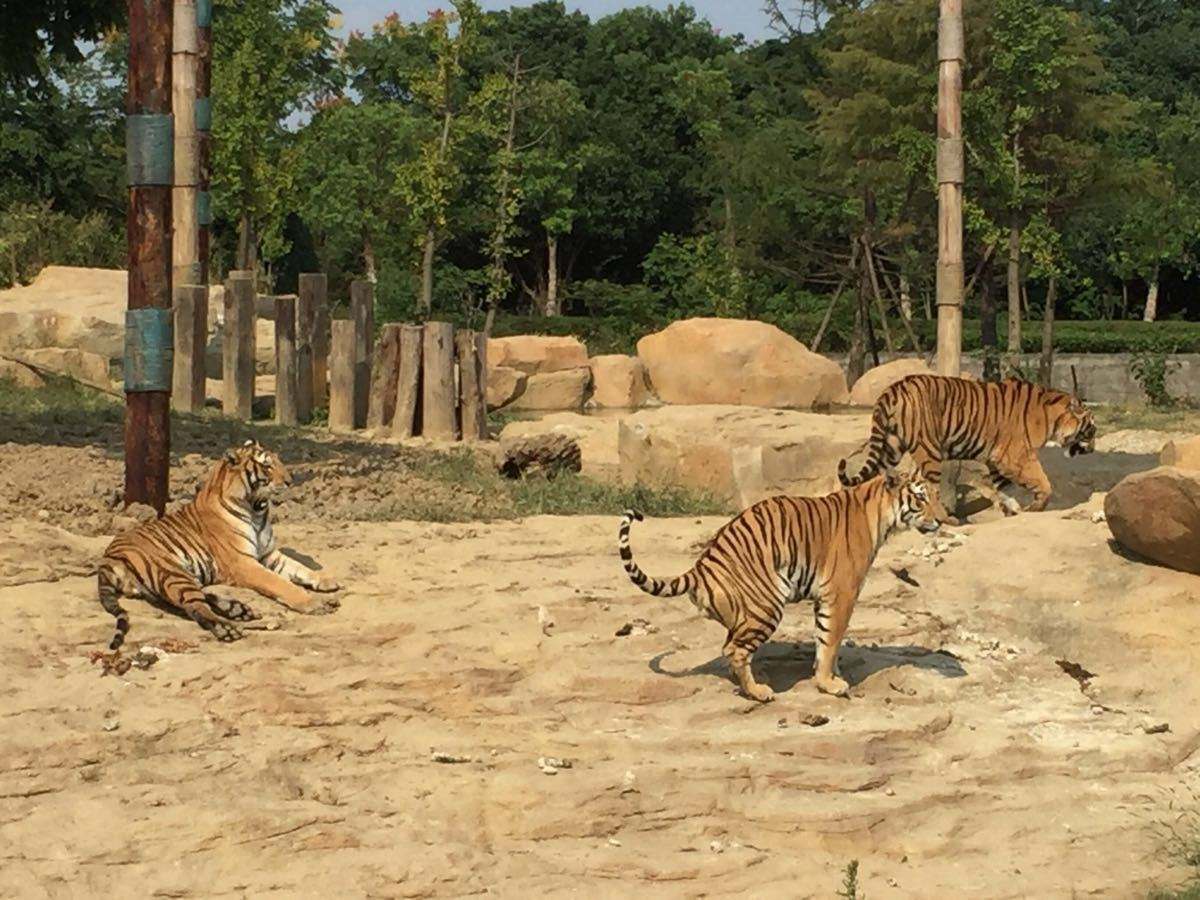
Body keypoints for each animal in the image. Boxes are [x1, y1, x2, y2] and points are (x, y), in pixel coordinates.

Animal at [95, 441, 340, 652]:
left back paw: (238, 610)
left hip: (180, 576)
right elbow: (280, 583)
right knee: (195, 607)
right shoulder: (244, 562)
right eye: (266, 465)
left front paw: (327, 581)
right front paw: (312, 602)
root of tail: (107, 557)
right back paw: (230, 627)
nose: (290, 481)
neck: (257, 509)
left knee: (194, 598)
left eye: (278, 460)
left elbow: (299, 568)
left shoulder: (268, 554)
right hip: (169, 570)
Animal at [619, 472, 936, 705]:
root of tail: (700, 566)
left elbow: (826, 641)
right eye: (920, 497)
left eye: (934, 495)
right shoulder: (841, 593)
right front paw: (829, 684)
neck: (880, 512)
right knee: (734, 649)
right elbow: (831, 640)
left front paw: (831, 676)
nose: (941, 519)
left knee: (730, 647)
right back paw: (759, 692)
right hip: (767, 604)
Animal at [840, 376, 1094, 525]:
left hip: (891, 446)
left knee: (875, 476)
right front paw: (1035, 507)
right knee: (929, 486)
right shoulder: (1016, 457)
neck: (1052, 417)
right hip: (928, 450)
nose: (1092, 449)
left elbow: (1001, 487)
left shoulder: (997, 459)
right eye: (1091, 429)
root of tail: (894, 388)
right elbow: (1043, 482)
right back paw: (947, 519)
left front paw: (1011, 509)